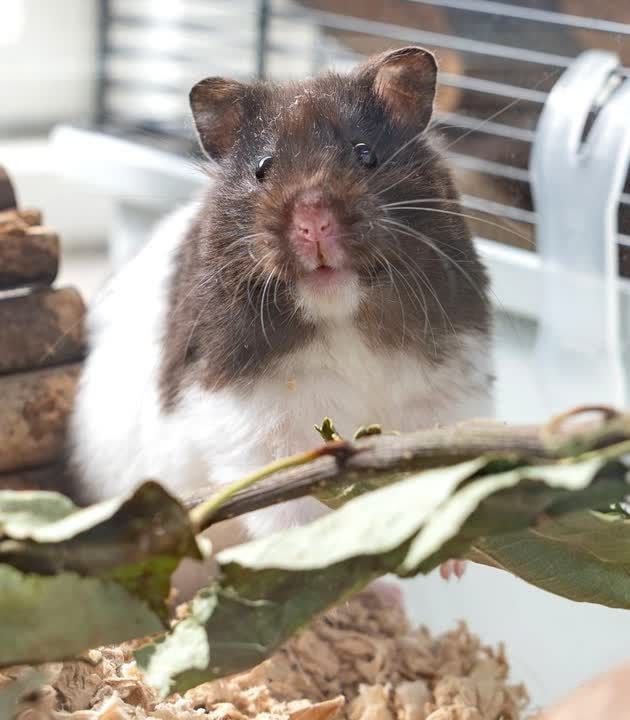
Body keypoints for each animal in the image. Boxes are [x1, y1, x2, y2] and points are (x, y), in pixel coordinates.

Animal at [70, 46, 493, 555]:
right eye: (262, 167)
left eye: (365, 154)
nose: (314, 222)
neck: (340, 316)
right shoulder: (257, 421)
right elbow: (289, 505)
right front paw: (311, 552)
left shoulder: (444, 391)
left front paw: (451, 558)